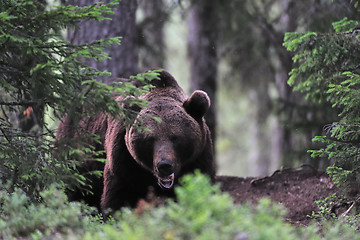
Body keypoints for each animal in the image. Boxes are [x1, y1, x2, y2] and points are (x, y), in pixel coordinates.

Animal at [57, 70, 214, 214]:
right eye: (150, 139)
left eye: (176, 137)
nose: (164, 165)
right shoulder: (124, 162)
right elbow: (118, 200)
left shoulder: (198, 160)